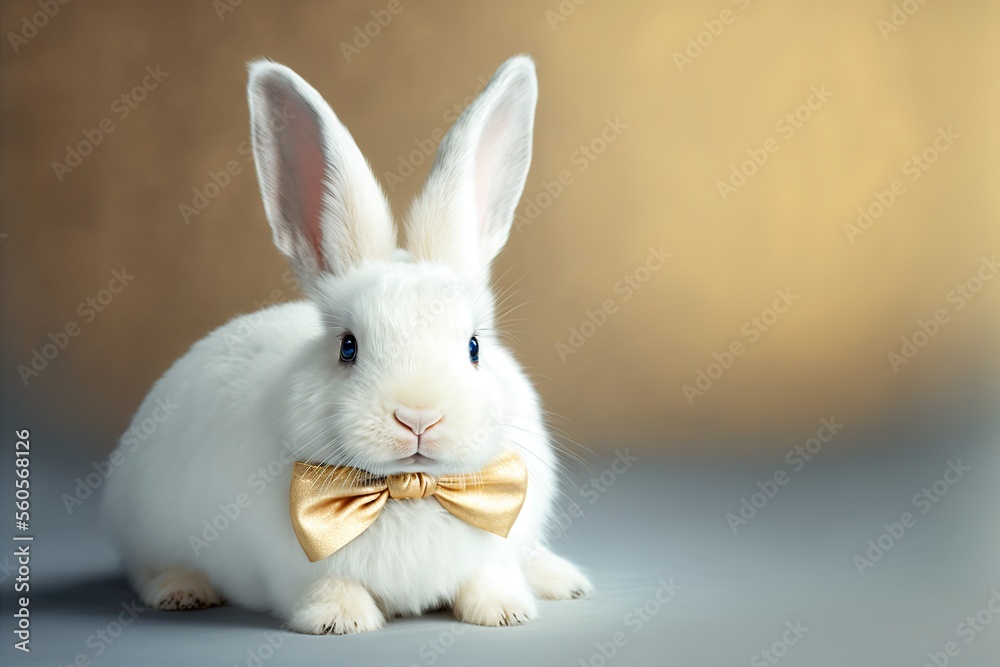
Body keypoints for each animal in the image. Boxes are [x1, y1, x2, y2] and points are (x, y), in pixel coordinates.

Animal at [102, 55, 593, 634]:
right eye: (348, 347)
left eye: (474, 347)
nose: (419, 417)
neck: (409, 489)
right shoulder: (296, 568)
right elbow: (327, 585)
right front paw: (340, 620)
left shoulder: (495, 546)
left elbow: (488, 574)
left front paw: (505, 612)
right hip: (150, 524)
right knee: (150, 569)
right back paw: (182, 591)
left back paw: (562, 579)